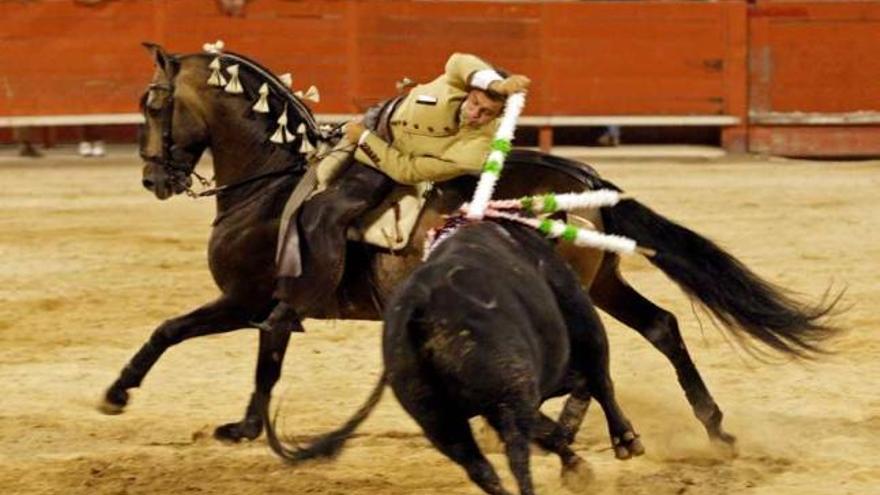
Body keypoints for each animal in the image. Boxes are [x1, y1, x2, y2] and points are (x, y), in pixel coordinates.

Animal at [99, 44, 836, 452]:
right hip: (602, 284)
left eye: (153, 102)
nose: (152, 178)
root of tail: (588, 179)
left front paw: (146, 400)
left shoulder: (248, 299)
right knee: (659, 327)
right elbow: (213, 339)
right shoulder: (254, 303)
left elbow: (199, 336)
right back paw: (708, 427)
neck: (270, 182)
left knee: (598, 356)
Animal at [264, 222, 644, 495]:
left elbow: (555, 425)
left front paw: (578, 466)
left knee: (483, 470)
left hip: (438, 420)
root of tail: (418, 306)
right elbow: (599, 382)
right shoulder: (583, 330)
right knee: (518, 454)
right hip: (513, 393)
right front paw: (625, 441)